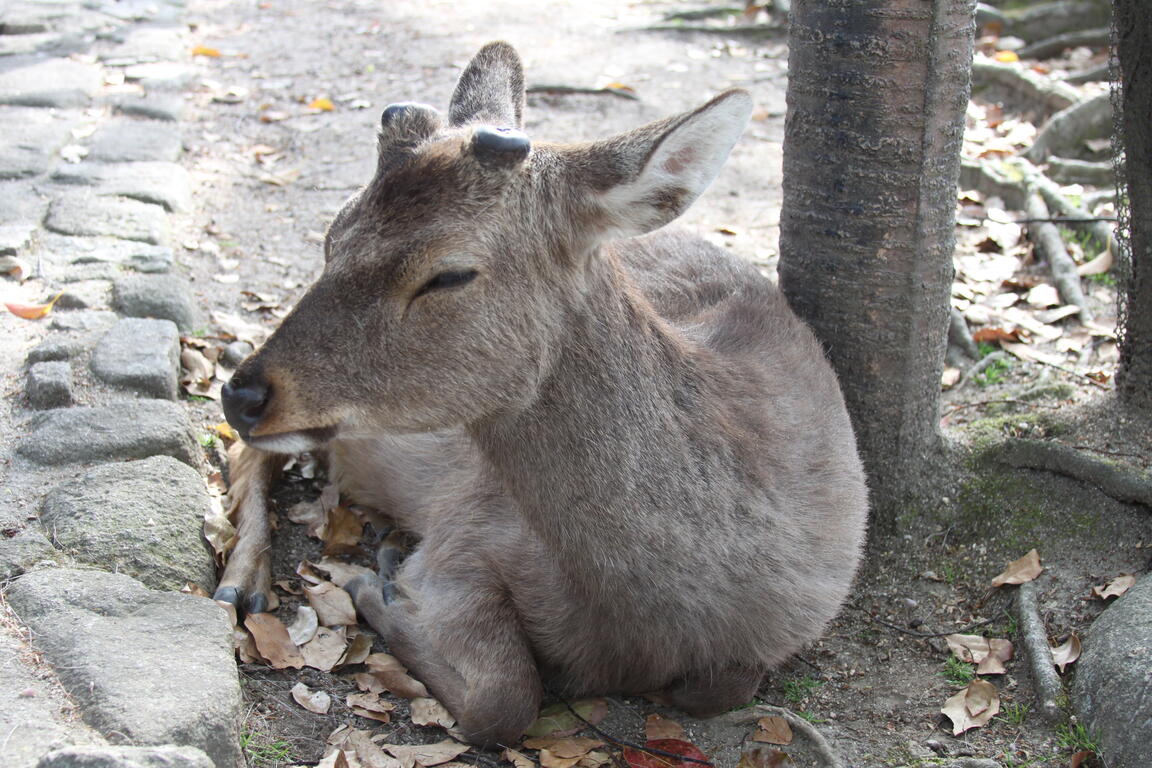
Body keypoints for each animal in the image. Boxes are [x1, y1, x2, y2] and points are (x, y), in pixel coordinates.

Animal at [216, 40, 866, 746]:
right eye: (331, 236)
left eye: (449, 273)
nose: (242, 397)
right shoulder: (464, 532)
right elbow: (504, 699)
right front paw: (377, 584)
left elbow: (716, 689)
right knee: (246, 452)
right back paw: (242, 582)